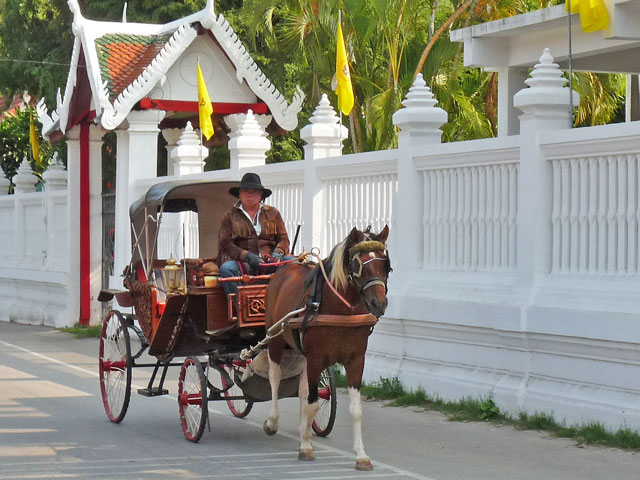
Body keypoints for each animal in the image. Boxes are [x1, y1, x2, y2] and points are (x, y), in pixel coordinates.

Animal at [264, 225, 390, 468]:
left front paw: (361, 455)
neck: (339, 310)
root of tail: (285, 267)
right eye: (359, 265)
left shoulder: (356, 360)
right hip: (275, 339)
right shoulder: (316, 358)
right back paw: (273, 422)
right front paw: (305, 446)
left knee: (304, 389)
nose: (379, 304)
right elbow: (312, 403)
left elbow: (354, 409)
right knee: (275, 378)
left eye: (386, 265)